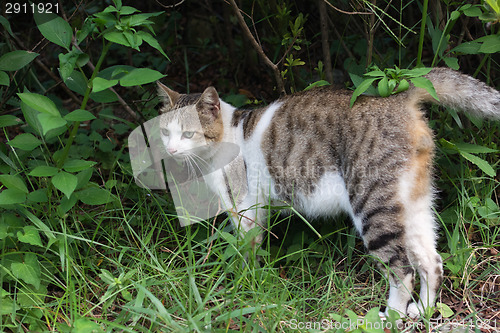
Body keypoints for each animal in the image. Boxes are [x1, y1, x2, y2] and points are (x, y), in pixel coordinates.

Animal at [156, 68, 500, 316]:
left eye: (188, 134)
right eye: (165, 131)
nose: (170, 149)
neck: (227, 136)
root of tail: (396, 100)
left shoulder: (243, 207)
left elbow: (245, 249)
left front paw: (243, 285)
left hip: (372, 206)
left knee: (402, 271)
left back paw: (390, 316)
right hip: (413, 205)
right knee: (431, 262)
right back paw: (424, 310)